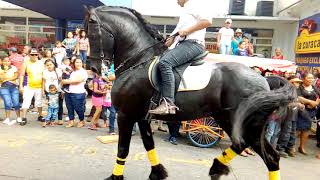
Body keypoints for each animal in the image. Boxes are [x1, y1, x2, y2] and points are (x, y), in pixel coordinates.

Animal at [84, 5, 296, 180]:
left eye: (92, 32)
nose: (92, 68)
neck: (139, 60)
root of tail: (264, 80)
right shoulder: (142, 117)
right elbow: (148, 144)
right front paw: (157, 173)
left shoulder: (125, 115)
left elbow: (122, 149)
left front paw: (115, 177)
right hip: (230, 120)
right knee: (252, 149)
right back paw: (217, 167)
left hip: (246, 124)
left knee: (267, 156)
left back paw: (218, 167)